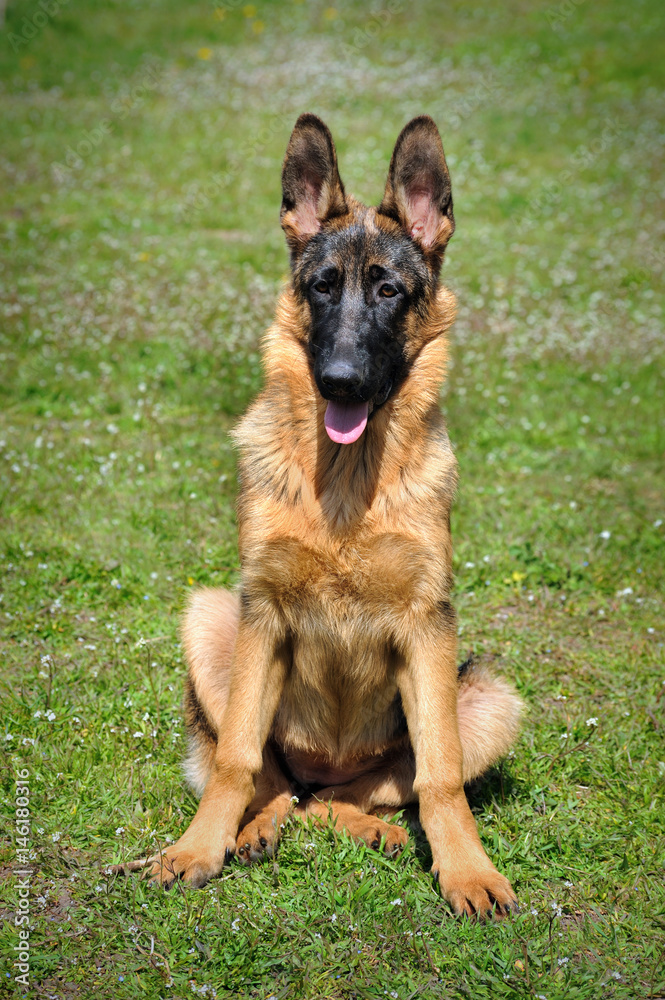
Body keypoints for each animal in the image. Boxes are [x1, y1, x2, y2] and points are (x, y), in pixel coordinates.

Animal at [134, 113, 524, 916]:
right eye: (321, 286)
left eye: (388, 291)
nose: (338, 380)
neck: (345, 487)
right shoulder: (262, 611)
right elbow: (235, 758)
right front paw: (199, 847)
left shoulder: (426, 622)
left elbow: (439, 778)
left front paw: (467, 871)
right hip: (211, 621)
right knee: (275, 784)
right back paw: (253, 830)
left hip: (486, 697)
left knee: (357, 795)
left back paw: (366, 826)